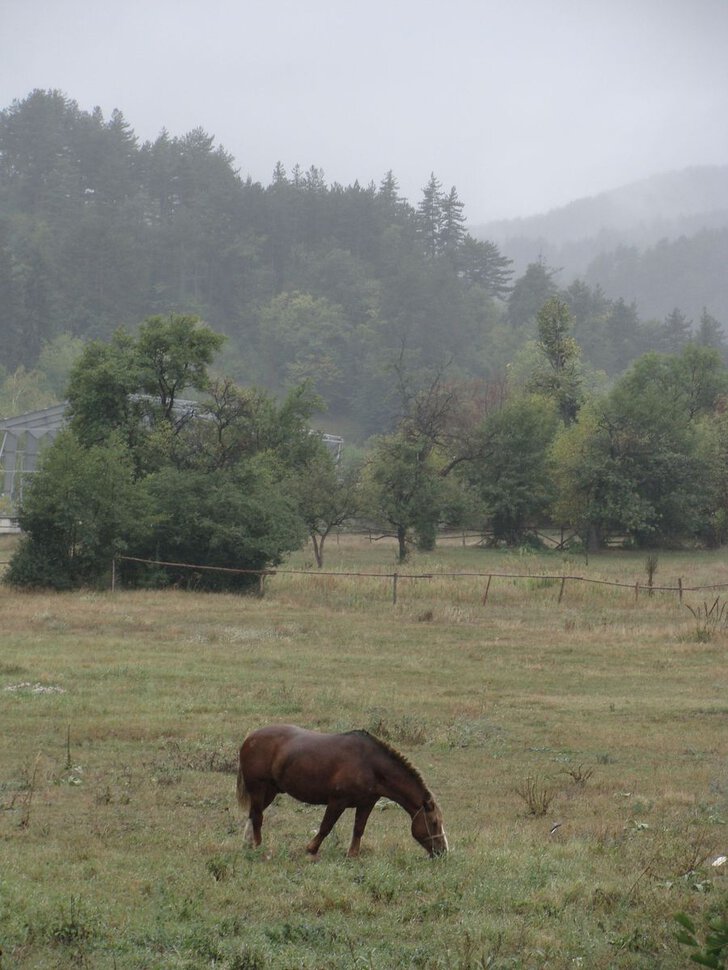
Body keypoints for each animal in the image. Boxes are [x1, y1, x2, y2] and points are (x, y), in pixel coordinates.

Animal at [236, 724, 446, 860]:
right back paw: (257, 846)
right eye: (434, 823)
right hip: (258, 787)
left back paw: (247, 843)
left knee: (254, 814)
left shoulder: (366, 803)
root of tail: (249, 738)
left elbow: (359, 829)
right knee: (257, 816)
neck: (370, 764)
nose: (443, 852)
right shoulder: (337, 801)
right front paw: (311, 849)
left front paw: (352, 855)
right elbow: (325, 827)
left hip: (270, 791)